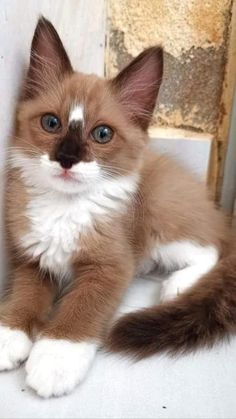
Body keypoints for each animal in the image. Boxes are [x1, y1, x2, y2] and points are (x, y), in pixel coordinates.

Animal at [1, 15, 236, 398]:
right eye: (51, 123)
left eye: (102, 134)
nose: (67, 158)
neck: (66, 207)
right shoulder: (34, 258)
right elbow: (24, 296)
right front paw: (9, 334)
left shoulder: (111, 267)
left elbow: (80, 309)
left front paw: (55, 359)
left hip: (159, 213)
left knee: (213, 249)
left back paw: (178, 286)